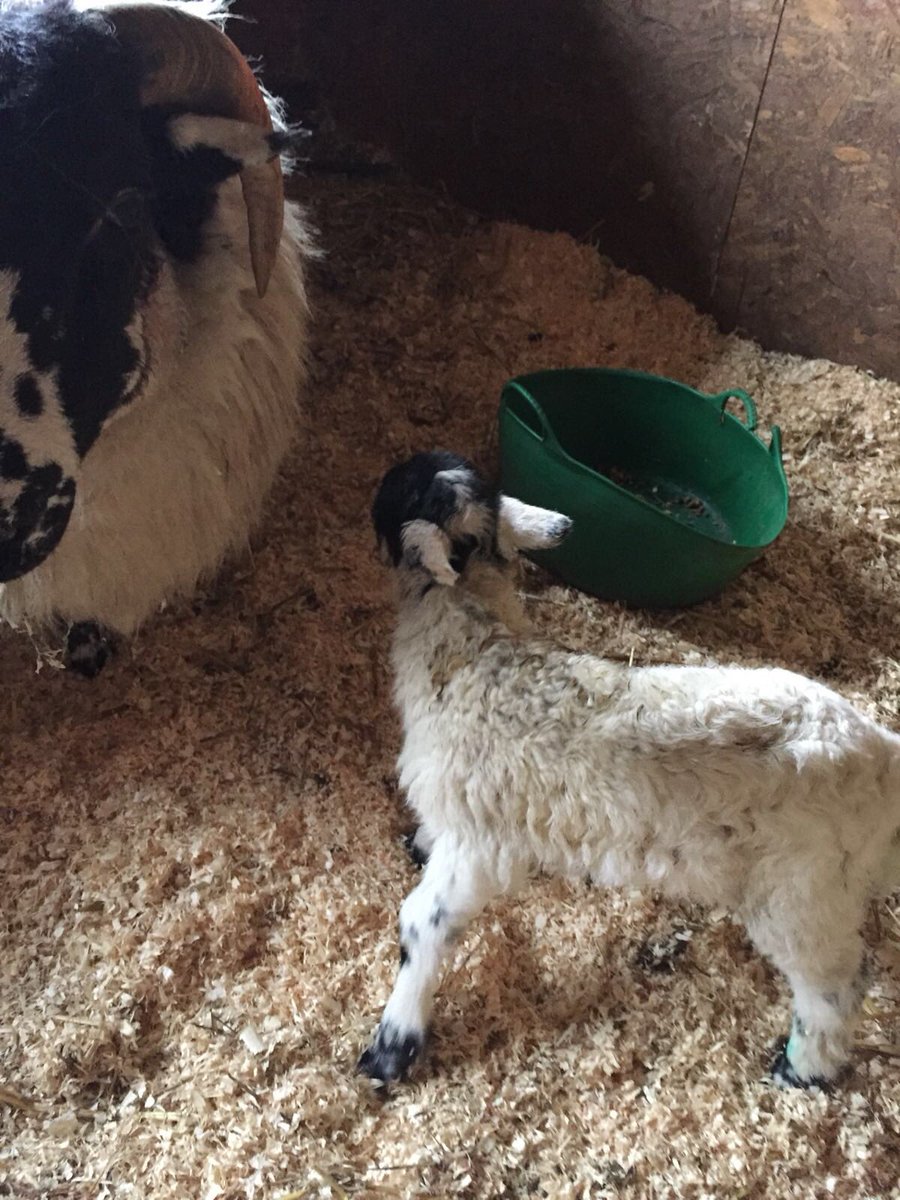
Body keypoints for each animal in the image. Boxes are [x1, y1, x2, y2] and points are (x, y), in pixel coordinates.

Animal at [359, 450, 900, 1089]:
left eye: (398, 489)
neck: (475, 654)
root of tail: (879, 752)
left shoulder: (481, 843)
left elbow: (421, 924)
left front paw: (393, 1045)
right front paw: (416, 841)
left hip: (801, 891)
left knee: (837, 985)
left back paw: (801, 1069)